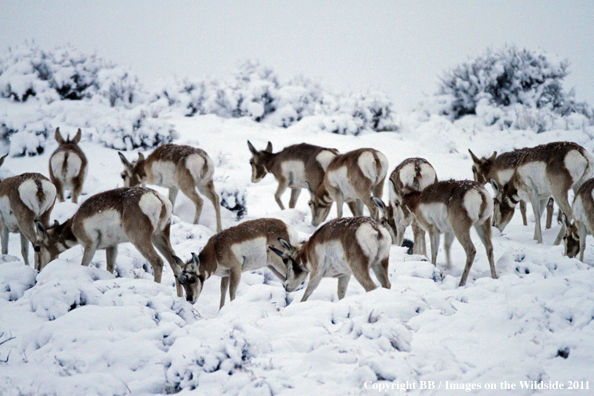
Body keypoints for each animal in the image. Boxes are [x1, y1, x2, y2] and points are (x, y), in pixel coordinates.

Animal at [34, 187, 183, 296]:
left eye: (37, 247)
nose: (39, 270)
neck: (73, 225)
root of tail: (158, 198)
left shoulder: (90, 246)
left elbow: (84, 265)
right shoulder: (112, 247)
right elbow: (110, 268)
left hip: (140, 239)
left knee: (157, 262)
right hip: (159, 237)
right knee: (174, 263)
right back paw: (181, 297)